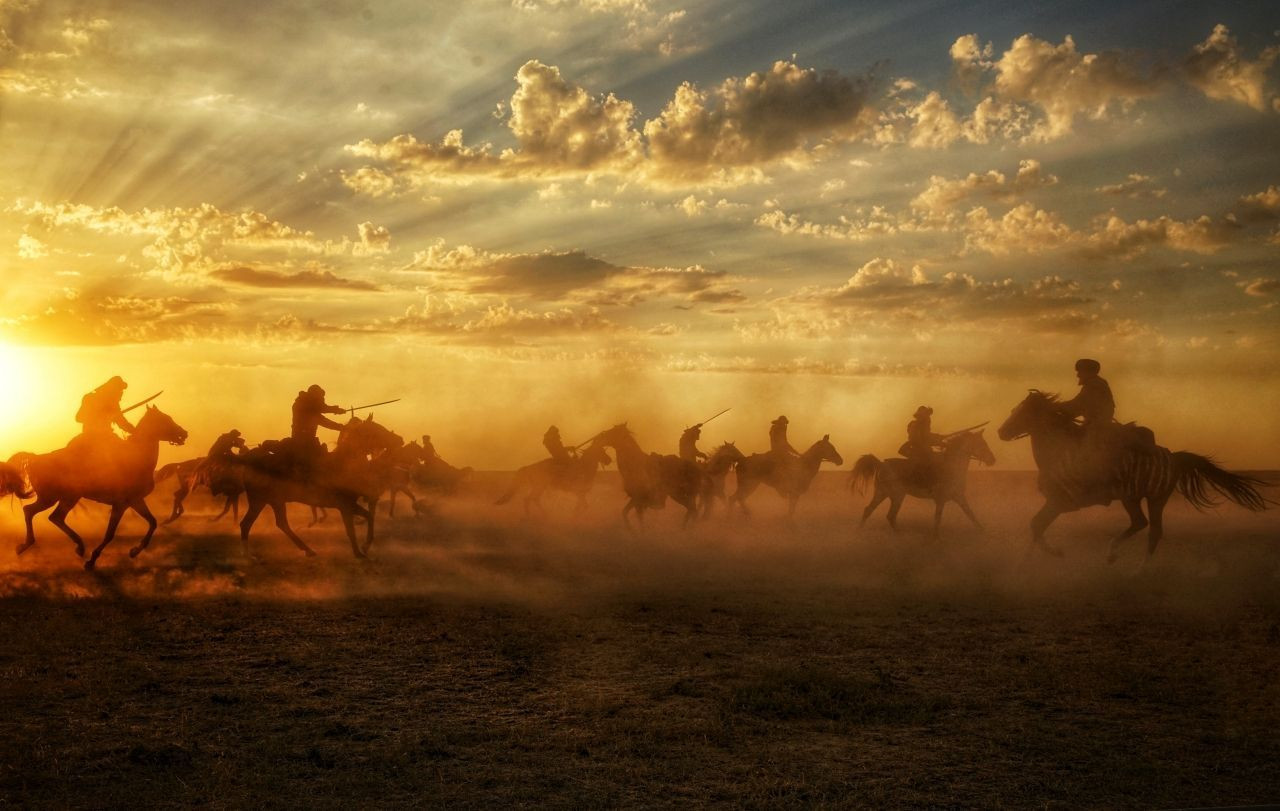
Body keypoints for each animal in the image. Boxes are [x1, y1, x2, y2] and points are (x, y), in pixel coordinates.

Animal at [14, 404, 186, 567]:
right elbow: (110, 533)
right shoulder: (120, 504)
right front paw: (92, 560)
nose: (184, 434)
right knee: (40, 513)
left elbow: (153, 522)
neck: (137, 458)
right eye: (164, 419)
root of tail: (35, 459)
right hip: (56, 497)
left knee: (45, 515)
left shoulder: (135, 501)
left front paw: (134, 551)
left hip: (63, 498)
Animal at [235, 414, 401, 557]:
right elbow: (352, 529)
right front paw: (359, 552)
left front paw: (365, 547)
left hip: (274, 501)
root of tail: (249, 460)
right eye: (377, 429)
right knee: (249, 524)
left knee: (278, 524)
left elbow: (368, 516)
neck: (343, 463)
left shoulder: (350, 504)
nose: (399, 439)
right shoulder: (345, 506)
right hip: (260, 500)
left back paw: (307, 550)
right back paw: (248, 556)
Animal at [855, 427, 993, 534]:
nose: (993, 460)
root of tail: (881, 464)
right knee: (881, 513)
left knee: (879, 513)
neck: (952, 466)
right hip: (891, 494)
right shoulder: (941, 500)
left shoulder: (959, 497)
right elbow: (937, 520)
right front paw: (935, 538)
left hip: (888, 495)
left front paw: (983, 531)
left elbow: (971, 515)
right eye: (982, 444)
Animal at [998, 388, 1269, 555]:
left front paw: (1054, 553)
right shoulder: (1056, 503)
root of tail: (1173, 456)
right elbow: (1036, 526)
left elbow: (1036, 525)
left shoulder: (1061, 502)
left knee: (1149, 529)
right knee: (1146, 526)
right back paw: (1120, 560)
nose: (1002, 432)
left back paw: (1128, 565)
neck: (1059, 450)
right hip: (1140, 498)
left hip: (1148, 497)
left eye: (1021, 411)